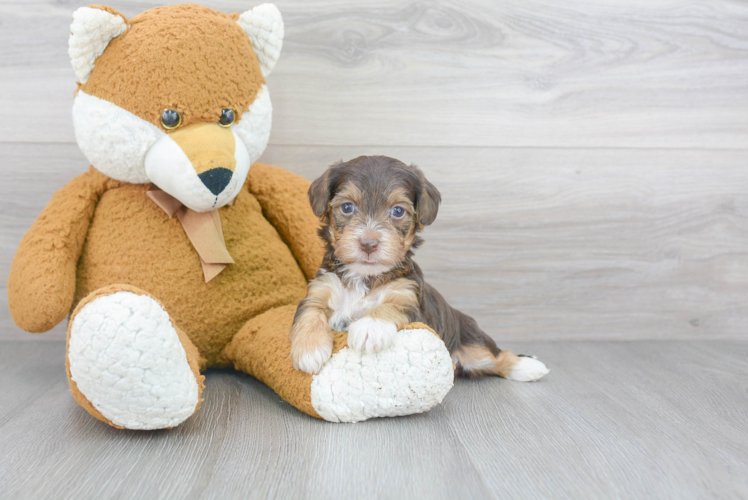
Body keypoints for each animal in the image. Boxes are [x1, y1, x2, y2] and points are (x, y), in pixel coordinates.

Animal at [288, 156, 548, 382]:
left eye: (398, 211)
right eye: (347, 207)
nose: (368, 244)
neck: (366, 277)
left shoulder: (411, 301)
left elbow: (391, 306)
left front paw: (370, 327)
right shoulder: (319, 290)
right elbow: (309, 312)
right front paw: (309, 350)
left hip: (471, 340)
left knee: (496, 356)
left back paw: (529, 366)